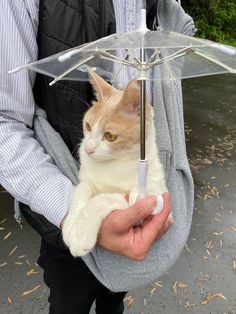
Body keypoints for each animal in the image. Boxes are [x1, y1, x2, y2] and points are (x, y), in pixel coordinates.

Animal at [61, 72, 168, 258]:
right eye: (88, 126)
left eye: (110, 136)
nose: (88, 149)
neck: (114, 162)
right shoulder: (87, 180)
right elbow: (82, 189)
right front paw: (70, 225)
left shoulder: (148, 199)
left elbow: (103, 199)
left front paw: (81, 234)